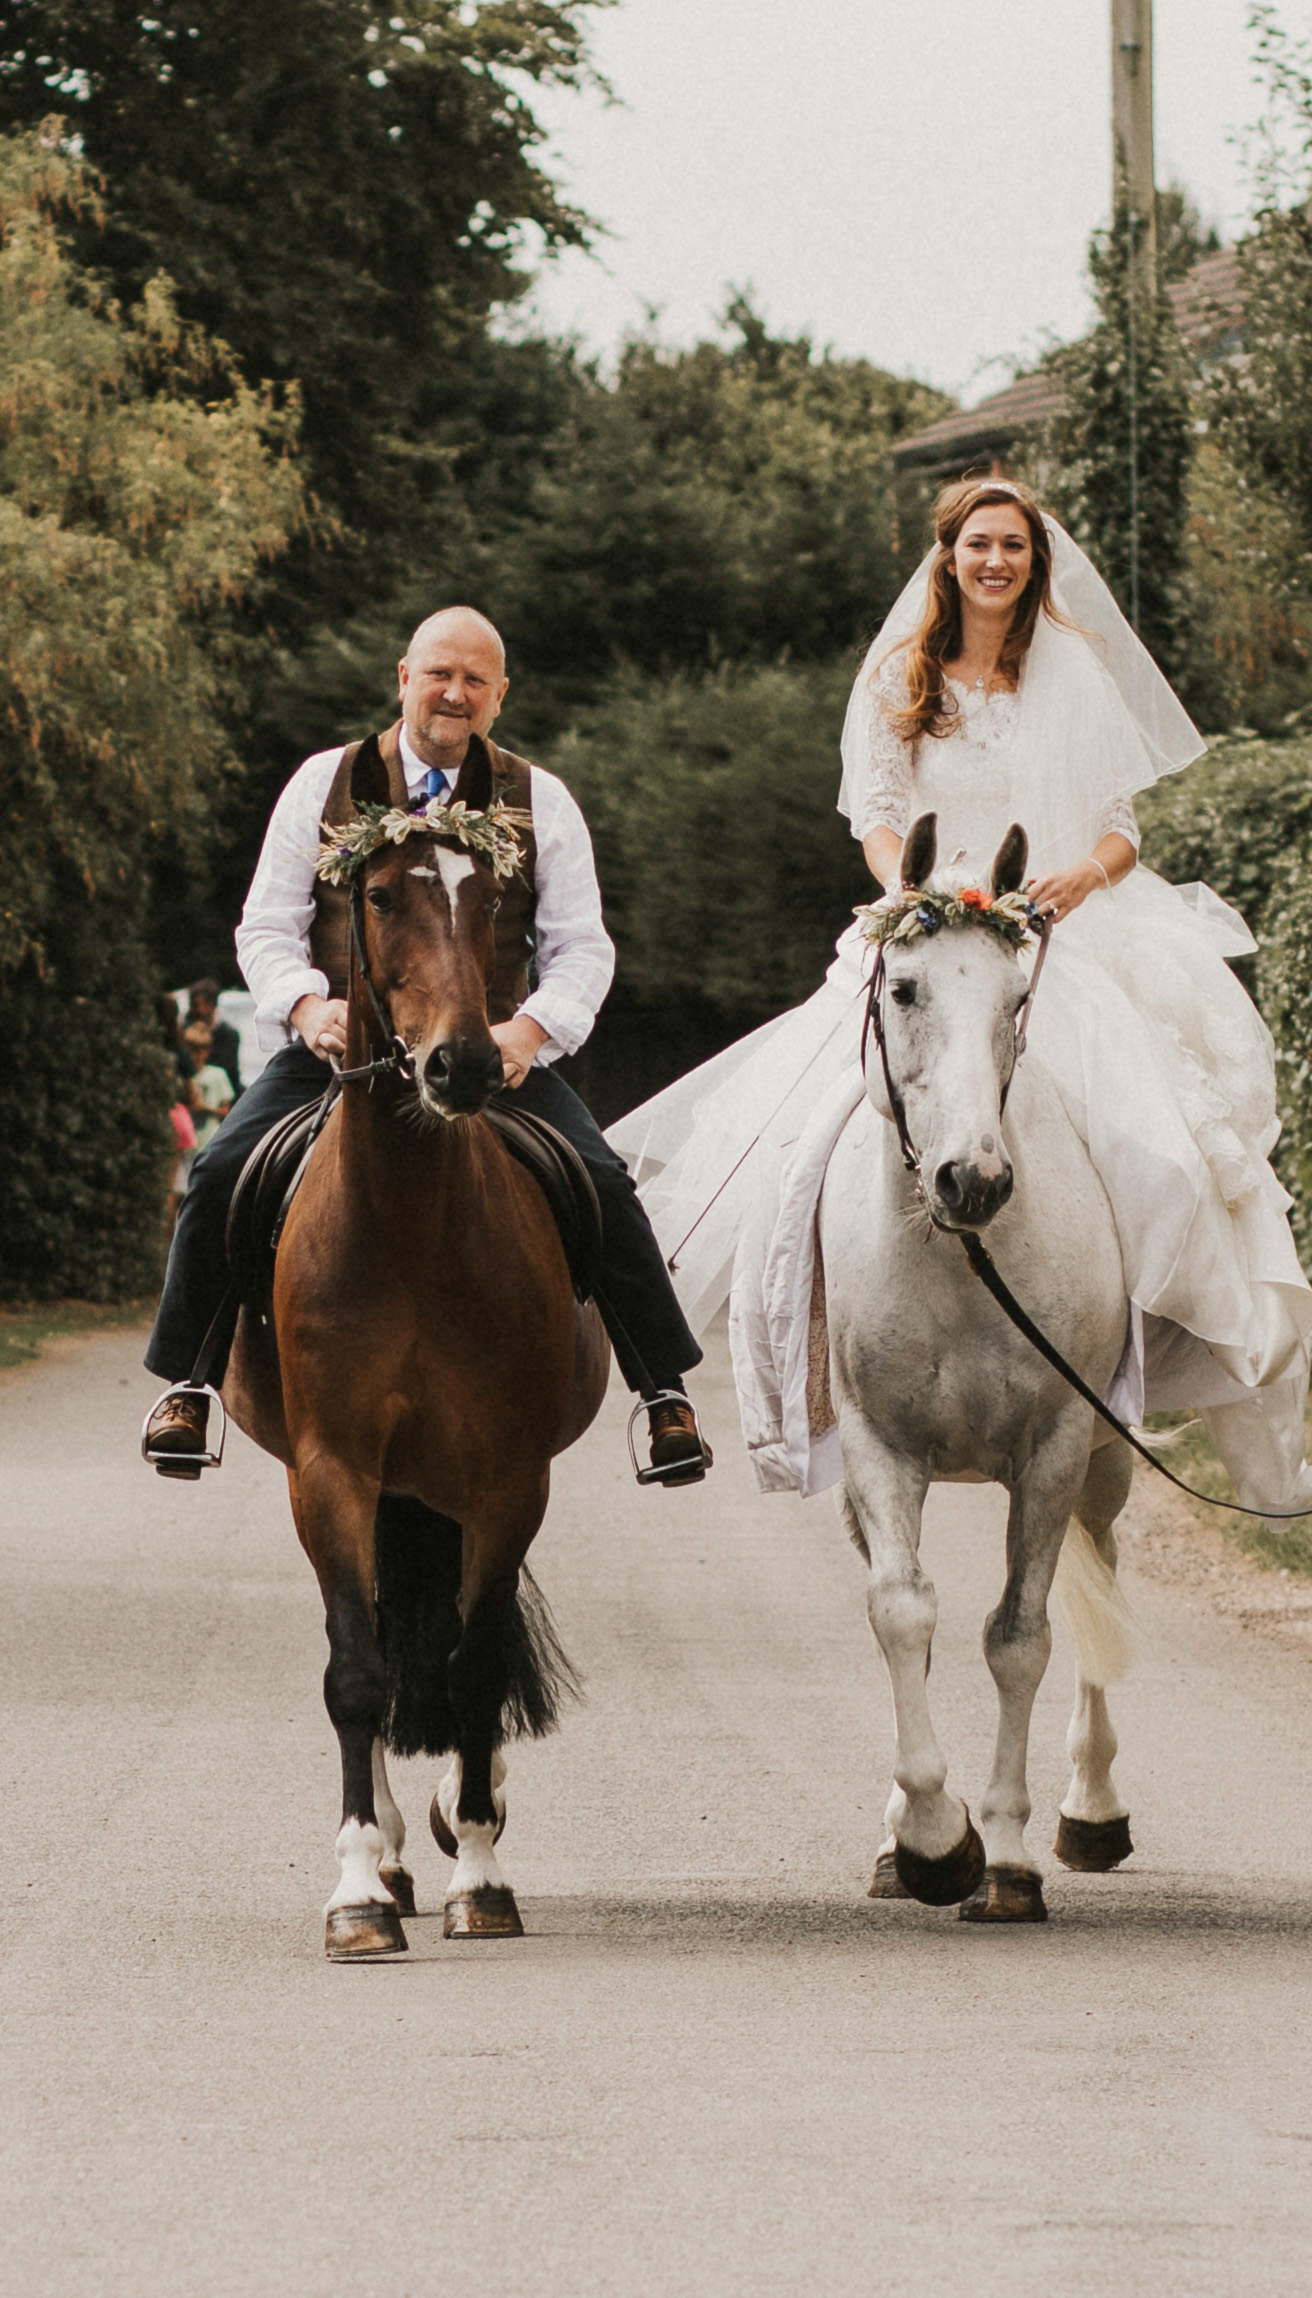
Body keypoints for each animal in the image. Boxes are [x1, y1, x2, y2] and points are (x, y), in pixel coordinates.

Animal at [227, 735, 611, 1957]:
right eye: (382, 895)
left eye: (490, 894)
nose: (464, 1069)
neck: (408, 1223)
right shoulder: (333, 1471)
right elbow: (357, 1672)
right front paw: (358, 1886)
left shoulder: (505, 1476)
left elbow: (474, 1662)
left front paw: (480, 1869)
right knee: (389, 1643)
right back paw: (394, 1852)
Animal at [822, 813, 1139, 1921]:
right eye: (906, 989)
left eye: (1016, 1001)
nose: (974, 1180)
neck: (959, 1259)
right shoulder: (878, 1448)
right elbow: (901, 1610)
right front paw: (927, 1840)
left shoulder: (1052, 1450)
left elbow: (1019, 1637)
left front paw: (1002, 1856)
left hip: (1105, 1464)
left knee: (1097, 1585)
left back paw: (1091, 1812)